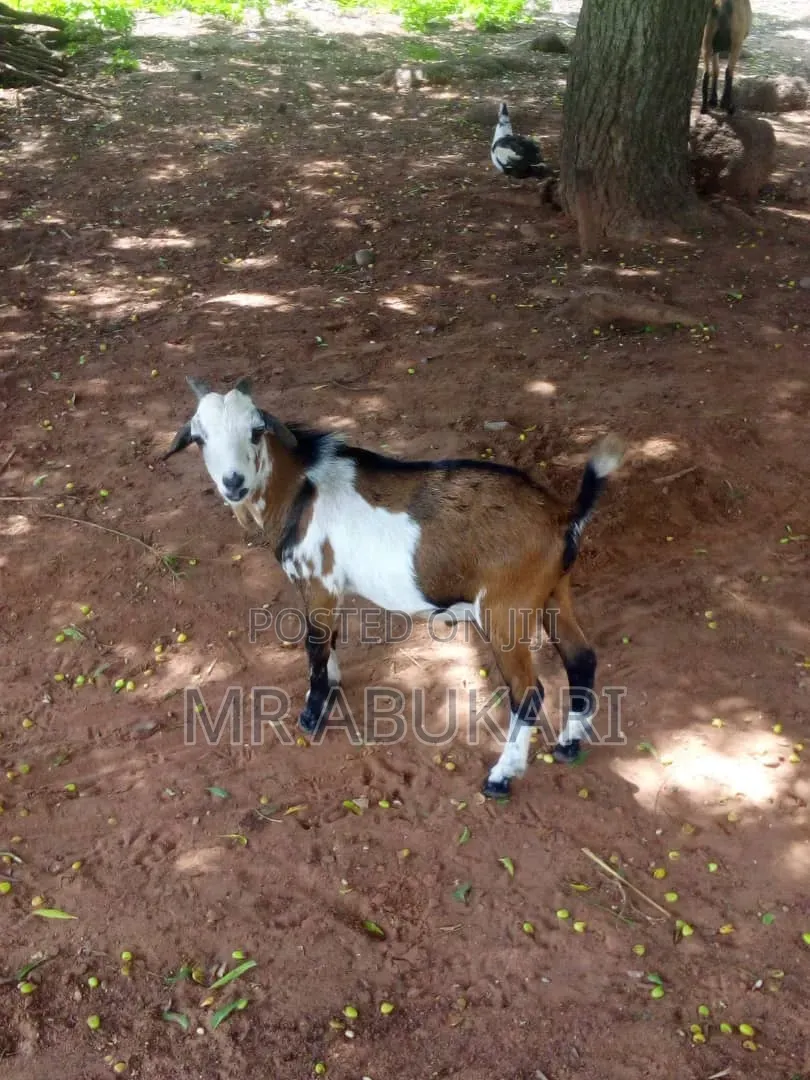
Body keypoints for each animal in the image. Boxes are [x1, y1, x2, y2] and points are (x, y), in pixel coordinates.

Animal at [162, 376, 623, 800]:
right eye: (200, 437)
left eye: (256, 430)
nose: (233, 482)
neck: (301, 489)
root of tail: (563, 515)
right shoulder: (330, 588)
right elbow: (329, 639)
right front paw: (332, 689)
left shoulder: (318, 580)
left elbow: (314, 645)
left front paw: (312, 714)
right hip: (552, 592)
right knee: (581, 658)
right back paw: (568, 744)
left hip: (506, 609)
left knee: (528, 693)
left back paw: (501, 776)